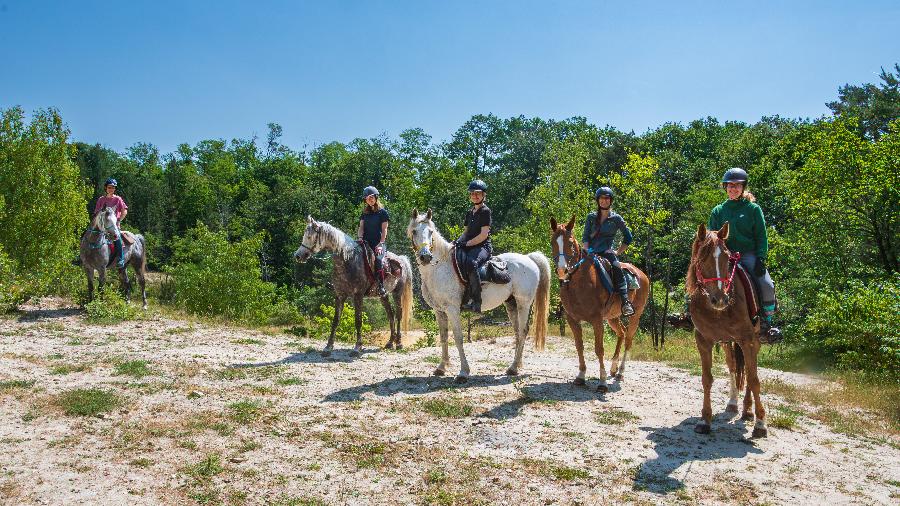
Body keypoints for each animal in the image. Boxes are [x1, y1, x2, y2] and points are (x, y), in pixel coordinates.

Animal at [292, 215, 414, 358]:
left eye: (310, 236)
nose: (298, 256)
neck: (347, 261)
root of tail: (401, 259)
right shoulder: (339, 295)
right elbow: (335, 320)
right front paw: (328, 347)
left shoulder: (358, 295)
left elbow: (358, 320)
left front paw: (357, 348)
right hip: (383, 296)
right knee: (390, 314)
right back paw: (390, 342)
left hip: (397, 293)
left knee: (399, 314)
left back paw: (399, 343)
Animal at [406, 208, 548, 382]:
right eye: (414, 231)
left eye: (431, 232)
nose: (426, 257)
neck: (438, 268)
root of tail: (529, 258)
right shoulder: (439, 311)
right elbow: (443, 337)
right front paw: (441, 368)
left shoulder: (452, 309)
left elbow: (458, 338)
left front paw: (463, 372)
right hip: (511, 303)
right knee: (517, 331)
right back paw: (515, 365)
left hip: (524, 303)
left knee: (522, 331)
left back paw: (514, 368)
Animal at [544, 214, 652, 392]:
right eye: (553, 241)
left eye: (570, 243)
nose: (562, 270)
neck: (580, 282)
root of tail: (641, 274)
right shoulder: (572, 320)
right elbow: (579, 346)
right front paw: (581, 376)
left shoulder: (596, 320)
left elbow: (599, 349)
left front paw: (602, 382)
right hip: (612, 317)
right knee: (621, 333)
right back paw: (614, 368)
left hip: (635, 316)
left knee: (628, 339)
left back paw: (620, 372)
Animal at [688, 223, 768, 436]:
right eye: (702, 258)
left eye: (727, 257)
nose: (720, 299)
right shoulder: (703, 341)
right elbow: (707, 379)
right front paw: (704, 421)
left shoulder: (747, 340)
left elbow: (754, 379)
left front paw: (760, 424)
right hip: (727, 342)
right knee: (733, 366)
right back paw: (733, 404)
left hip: (754, 339)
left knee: (749, 370)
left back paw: (748, 411)